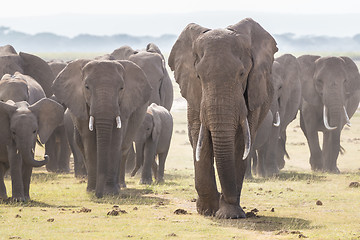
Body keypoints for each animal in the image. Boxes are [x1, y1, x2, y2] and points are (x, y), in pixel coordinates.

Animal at [52, 59, 151, 198]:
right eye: (87, 87)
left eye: (121, 88)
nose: (99, 195)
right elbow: (89, 141)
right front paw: (91, 190)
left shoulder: (124, 106)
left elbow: (115, 139)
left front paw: (110, 192)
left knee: (123, 149)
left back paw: (120, 186)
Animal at [167, 17, 278, 218]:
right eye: (198, 76)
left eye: (242, 74)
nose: (225, 197)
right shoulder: (195, 94)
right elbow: (200, 138)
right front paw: (207, 210)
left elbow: (241, 142)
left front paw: (229, 214)